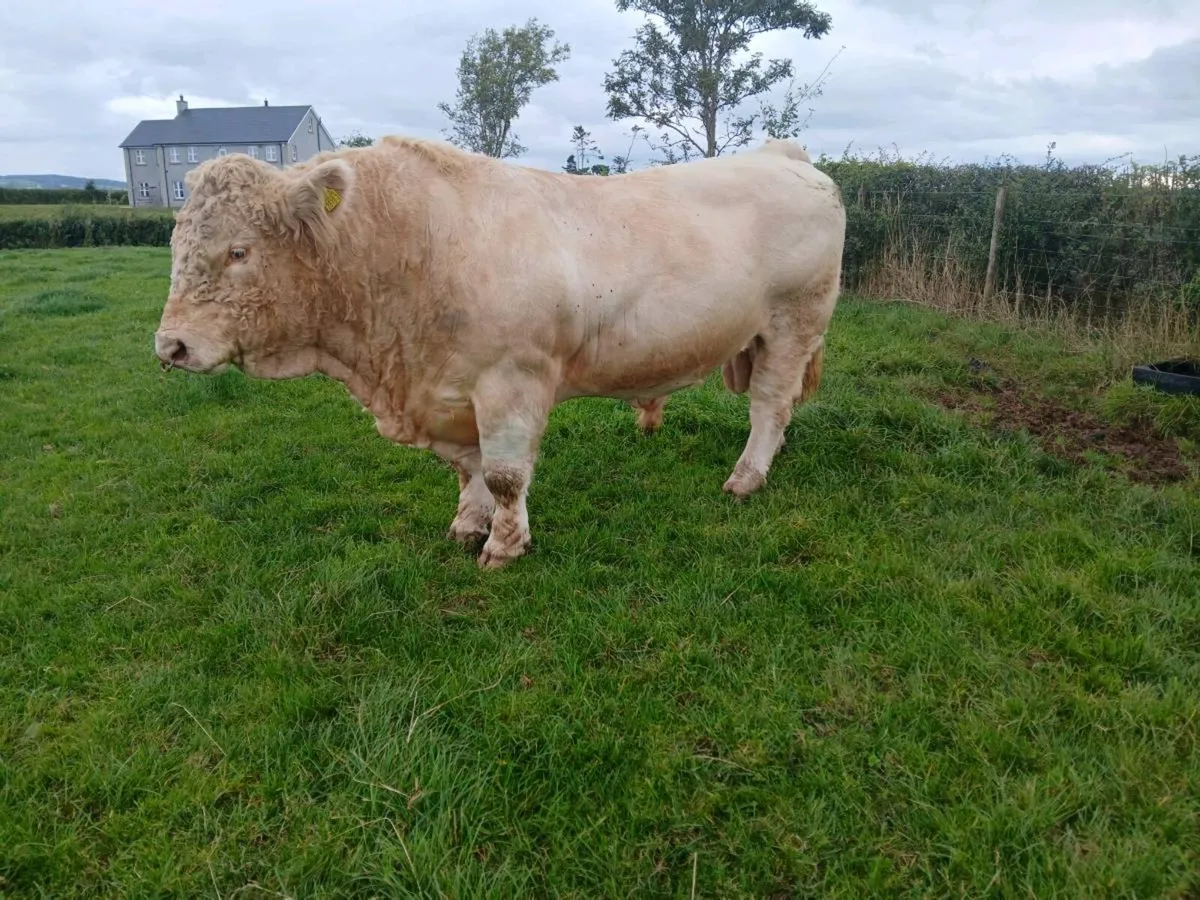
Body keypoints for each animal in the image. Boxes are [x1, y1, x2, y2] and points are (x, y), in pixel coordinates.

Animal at [154, 134, 846, 569]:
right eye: (174, 241)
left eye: (238, 251)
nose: (171, 345)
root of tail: (781, 154)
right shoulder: (451, 387)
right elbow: (470, 469)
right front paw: (468, 525)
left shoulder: (512, 378)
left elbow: (506, 473)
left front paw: (505, 547)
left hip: (794, 321)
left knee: (770, 405)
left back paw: (748, 476)